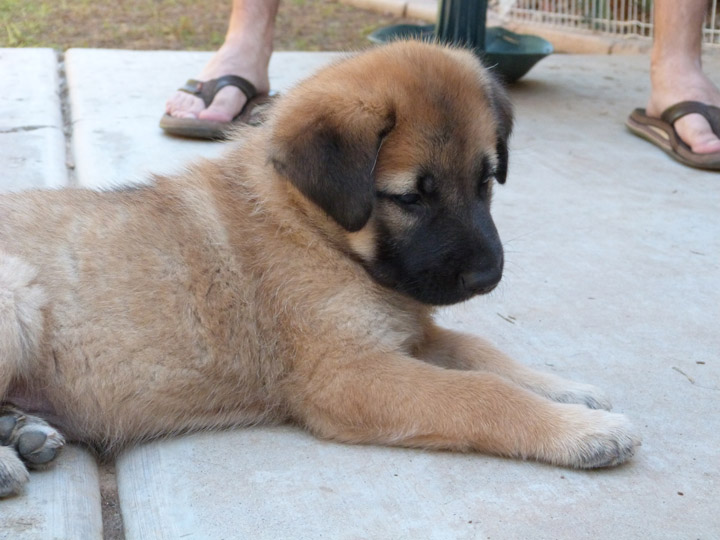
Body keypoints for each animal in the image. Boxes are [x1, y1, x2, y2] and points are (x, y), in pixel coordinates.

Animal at [0, 41, 640, 498]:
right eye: (411, 197)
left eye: (486, 180)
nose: (487, 279)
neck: (311, 227)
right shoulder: (347, 374)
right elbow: (481, 394)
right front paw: (583, 433)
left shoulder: (409, 331)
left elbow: (482, 351)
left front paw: (568, 391)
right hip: (16, 296)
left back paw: (22, 435)